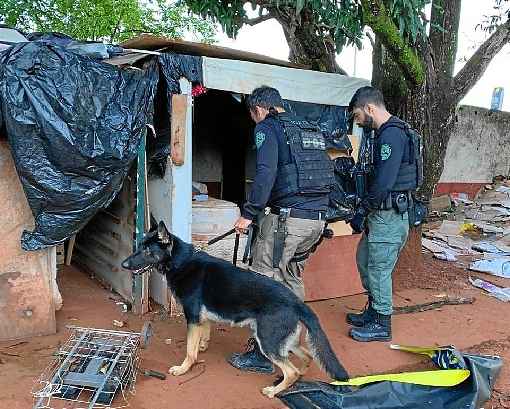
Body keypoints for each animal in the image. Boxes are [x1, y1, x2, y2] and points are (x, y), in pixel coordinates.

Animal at [121, 222, 348, 396]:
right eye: (139, 246)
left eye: (147, 251)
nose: (123, 265)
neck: (181, 261)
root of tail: (296, 302)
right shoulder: (202, 319)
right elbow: (203, 337)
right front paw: (202, 347)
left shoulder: (192, 317)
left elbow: (189, 351)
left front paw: (184, 368)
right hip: (282, 341)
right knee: (307, 356)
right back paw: (297, 377)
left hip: (267, 340)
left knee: (290, 370)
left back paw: (273, 391)